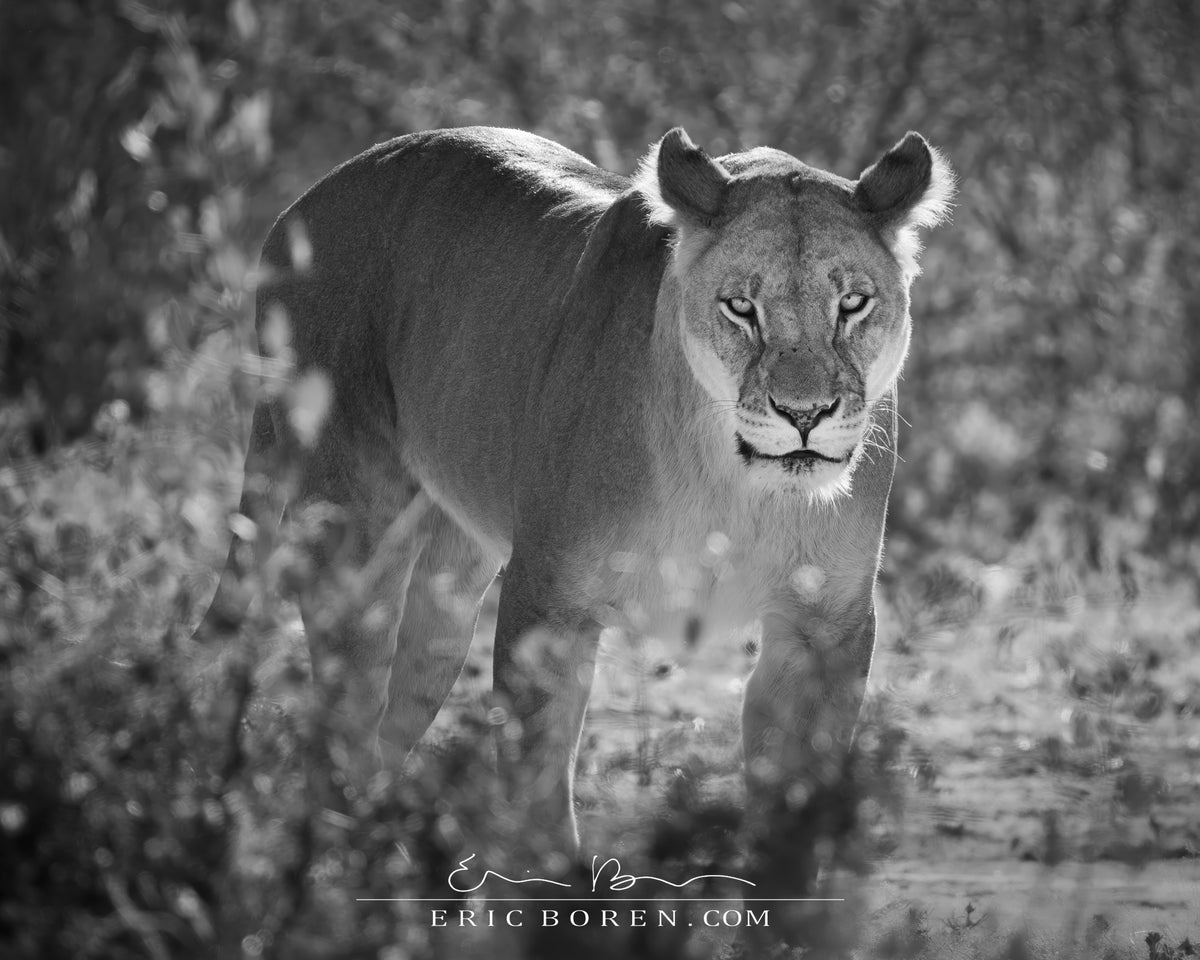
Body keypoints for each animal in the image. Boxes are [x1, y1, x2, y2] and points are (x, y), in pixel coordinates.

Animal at [198, 124, 952, 893]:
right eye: (741, 308)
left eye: (853, 304)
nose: (804, 415)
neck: (735, 488)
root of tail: (303, 203)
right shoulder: (549, 608)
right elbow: (538, 806)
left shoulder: (824, 630)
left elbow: (793, 823)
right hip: (353, 528)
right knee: (345, 712)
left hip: (449, 581)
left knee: (395, 713)